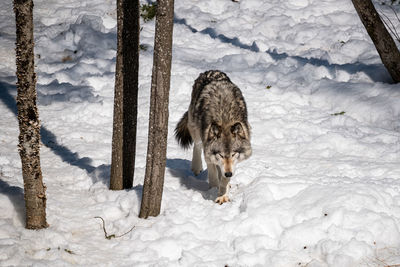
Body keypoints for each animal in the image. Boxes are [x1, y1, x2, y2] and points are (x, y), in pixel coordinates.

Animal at [174, 70, 252, 204]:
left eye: (233, 154)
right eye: (221, 155)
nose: (229, 174)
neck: (225, 119)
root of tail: (211, 71)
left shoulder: (231, 165)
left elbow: (224, 178)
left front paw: (223, 194)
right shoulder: (210, 153)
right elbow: (213, 172)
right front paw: (214, 189)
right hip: (195, 128)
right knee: (197, 146)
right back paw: (197, 167)